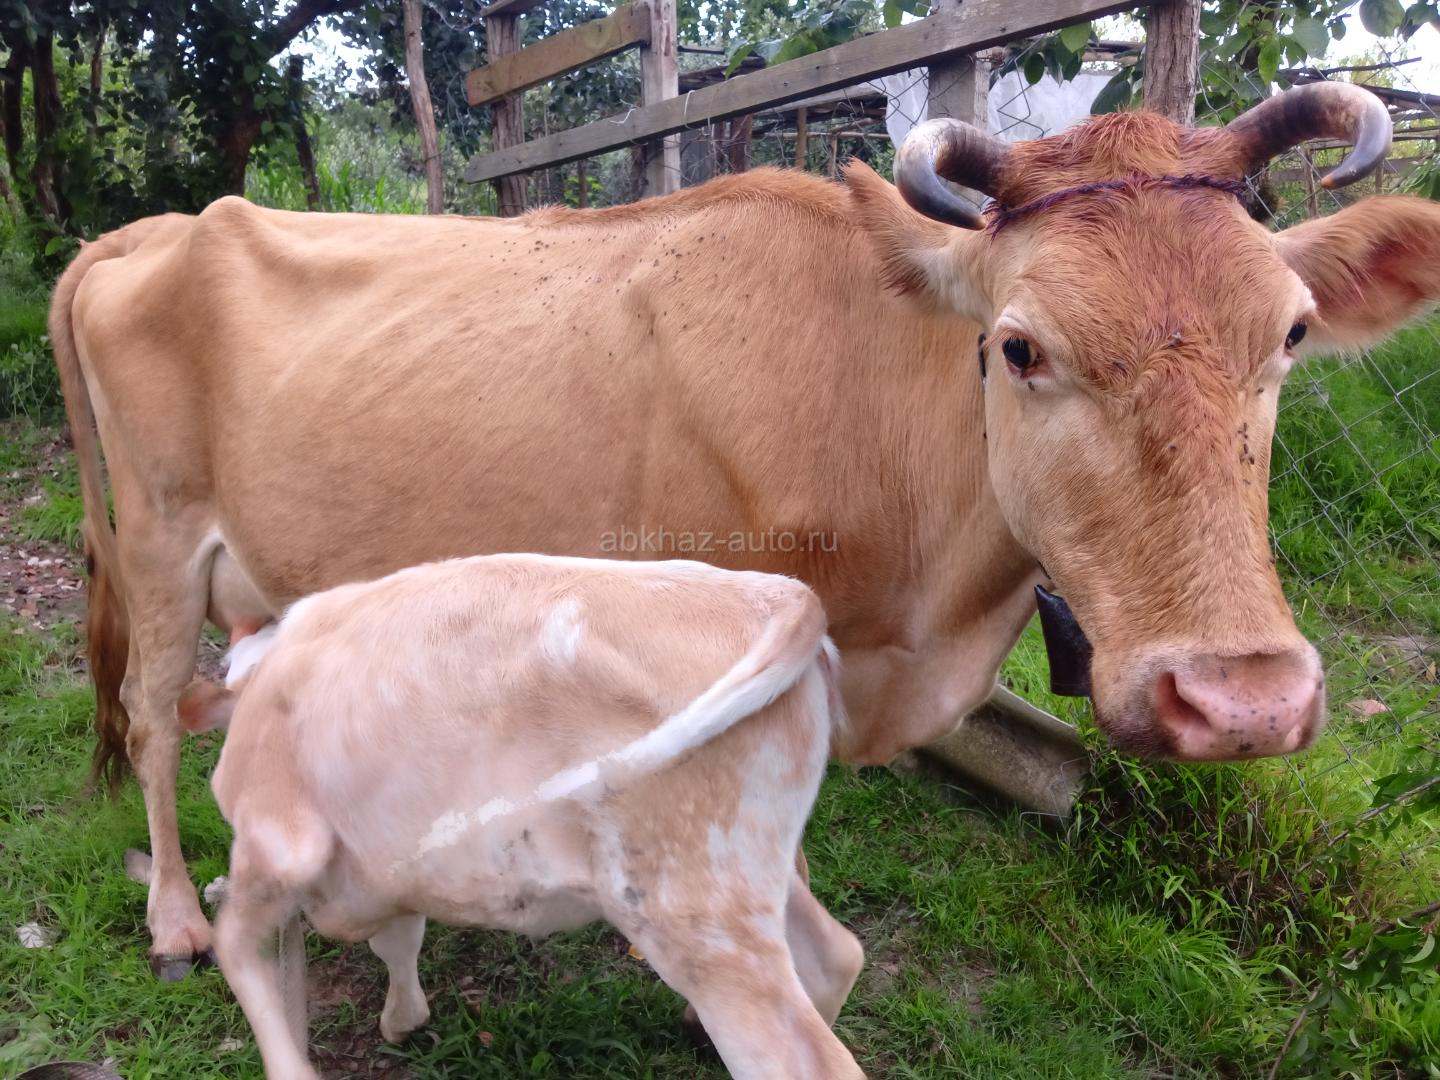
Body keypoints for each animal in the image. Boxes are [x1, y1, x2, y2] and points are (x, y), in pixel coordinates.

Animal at [50, 81, 1440, 973]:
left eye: (1294, 333)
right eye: (1020, 346)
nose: (1242, 698)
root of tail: (160, 228)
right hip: (160, 544)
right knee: (150, 720)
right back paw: (177, 920)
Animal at [181, 554, 863, 1080]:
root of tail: (779, 594)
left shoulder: (277, 842)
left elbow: (235, 945)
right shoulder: (387, 866)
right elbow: (399, 940)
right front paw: (403, 1020)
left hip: (689, 912)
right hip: (743, 878)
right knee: (835, 955)